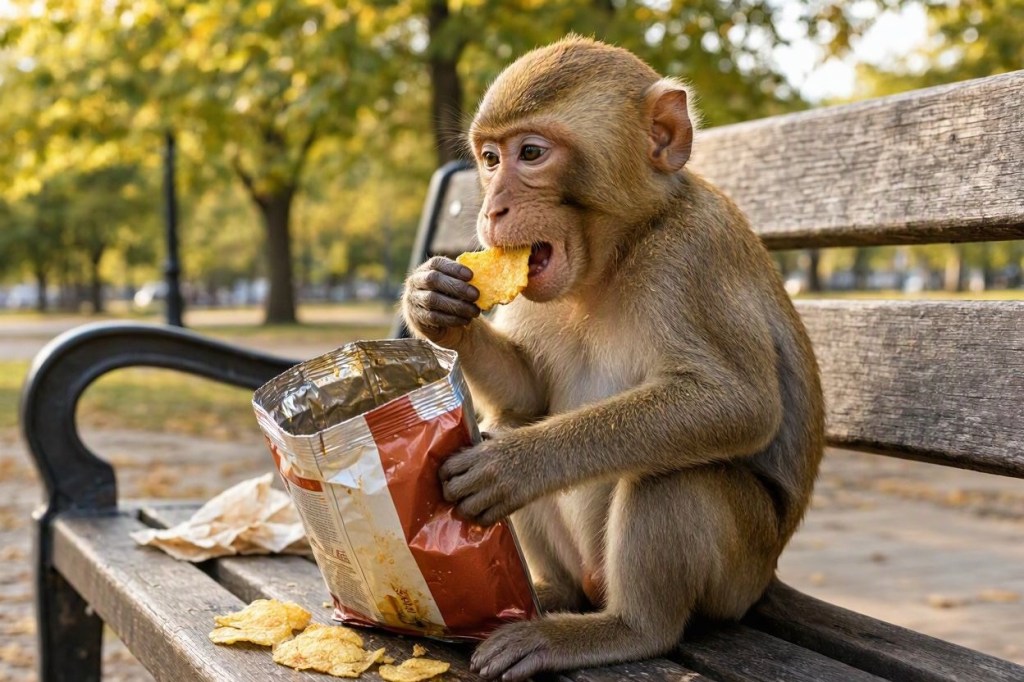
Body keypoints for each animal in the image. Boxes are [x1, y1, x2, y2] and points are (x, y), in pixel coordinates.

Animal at [402, 36, 824, 681]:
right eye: (491, 158)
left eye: (530, 153)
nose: (493, 209)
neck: (614, 255)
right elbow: (527, 391)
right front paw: (435, 305)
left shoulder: (691, 255)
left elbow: (737, 403)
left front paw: (518, 463)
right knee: (513, 414)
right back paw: (554, 593)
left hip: (738, 576)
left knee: (675, 473)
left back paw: (624, 629)